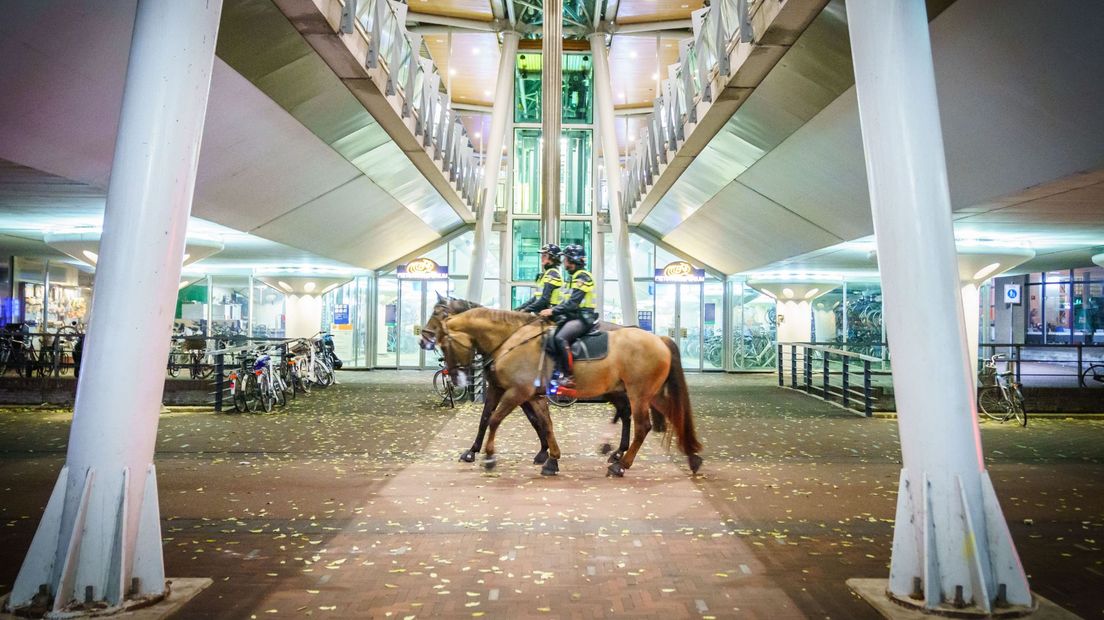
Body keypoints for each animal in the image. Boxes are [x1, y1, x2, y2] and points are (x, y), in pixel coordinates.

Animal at [437, 306, 702, 474]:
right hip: (644, 393)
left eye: (445, 345)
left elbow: (493, 419)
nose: (456, 378)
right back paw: (691, 457)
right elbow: (545, 424)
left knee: (642, 425)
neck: (512, 340)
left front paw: (490, 456)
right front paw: (551, 459)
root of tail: (658, 339)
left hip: (639, 394)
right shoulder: (530, 395)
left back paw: (621, 464)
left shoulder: (516, 392)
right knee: (670, 416)